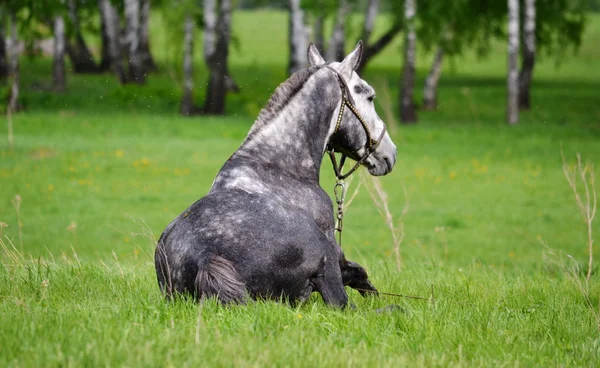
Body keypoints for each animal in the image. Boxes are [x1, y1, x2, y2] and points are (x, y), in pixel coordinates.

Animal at [155, 41, 398, 308]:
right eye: (369, 96)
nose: (391, 154)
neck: (279, 165)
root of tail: (205, 258)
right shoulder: (335, 250)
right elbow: (358, 272)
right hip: (325, 263)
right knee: (343, 305)